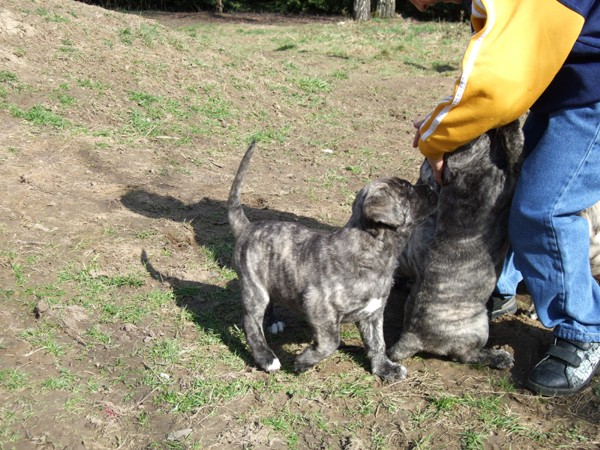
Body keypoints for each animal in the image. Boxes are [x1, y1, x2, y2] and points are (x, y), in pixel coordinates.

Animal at [229, 142, 436, 382]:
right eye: (408, 190)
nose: (432, 188)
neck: (370, 251)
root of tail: (247, 227)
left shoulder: (373, 314)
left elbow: (377, 343)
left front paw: (385, 368)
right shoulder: (318, 307)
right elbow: (331, 342)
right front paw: (302, 362)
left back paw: (273, 322)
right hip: (254, 288)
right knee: (251, 322)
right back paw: (266, 358)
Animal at [390, 120, 524, 370]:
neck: (462, 177)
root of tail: (411, 336)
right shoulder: (511, 172)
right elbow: (516, 142)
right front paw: (511, 123)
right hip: (477, 328)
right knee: (465, 355)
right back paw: (498, 357)